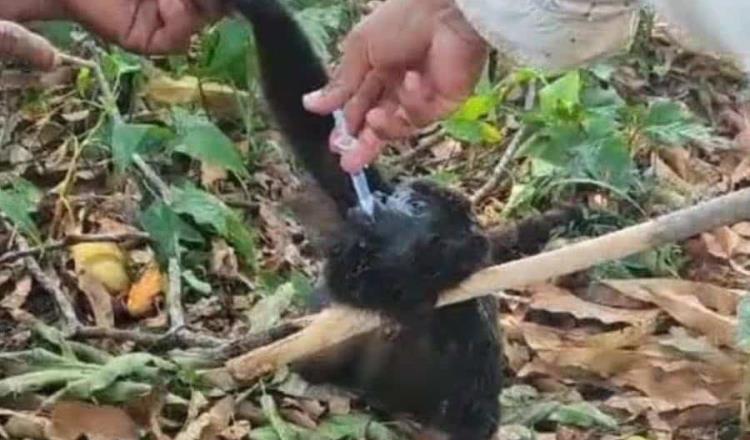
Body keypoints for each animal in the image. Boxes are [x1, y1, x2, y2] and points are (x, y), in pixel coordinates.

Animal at [232, 1, 580, 438]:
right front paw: (263, 12)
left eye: (415, 206)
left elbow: (476, 414)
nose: (383, 198)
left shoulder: (468, 321)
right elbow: (321, 145)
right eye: (399, 194)